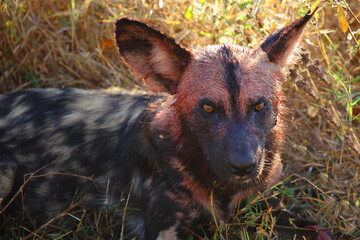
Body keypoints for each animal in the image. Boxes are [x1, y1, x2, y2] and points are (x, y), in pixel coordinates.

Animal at [0, 9, 334, 240]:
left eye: (259, 106)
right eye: (208, 107)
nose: (243, 166)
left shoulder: (266, 206)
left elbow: (322, 229)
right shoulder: (164, 229)